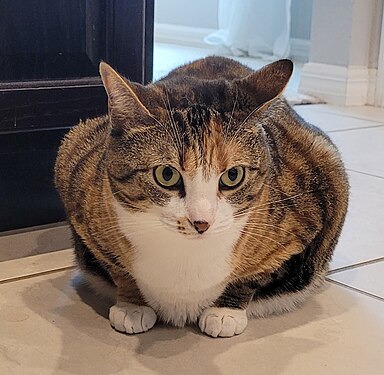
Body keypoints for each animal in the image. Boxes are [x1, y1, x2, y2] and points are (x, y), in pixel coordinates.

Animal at [54, 56, 348, 340]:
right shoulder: (77, 185)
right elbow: (116, 266)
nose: (201, 223)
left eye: (233, 175)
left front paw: (226, 312)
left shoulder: (306, 216)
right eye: (166, 174)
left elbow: (256, 275)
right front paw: (132, 306)